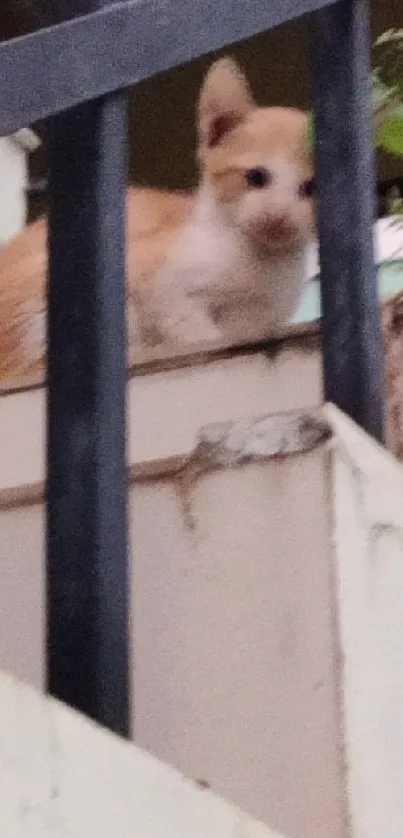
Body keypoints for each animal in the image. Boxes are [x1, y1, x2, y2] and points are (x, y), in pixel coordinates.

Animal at [0, 60, 316, 384]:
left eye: (311, 188)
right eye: (256, 176)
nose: (278, 216)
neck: (260, 263)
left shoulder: (259, 320)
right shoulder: (152, 274)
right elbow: (187, 325)